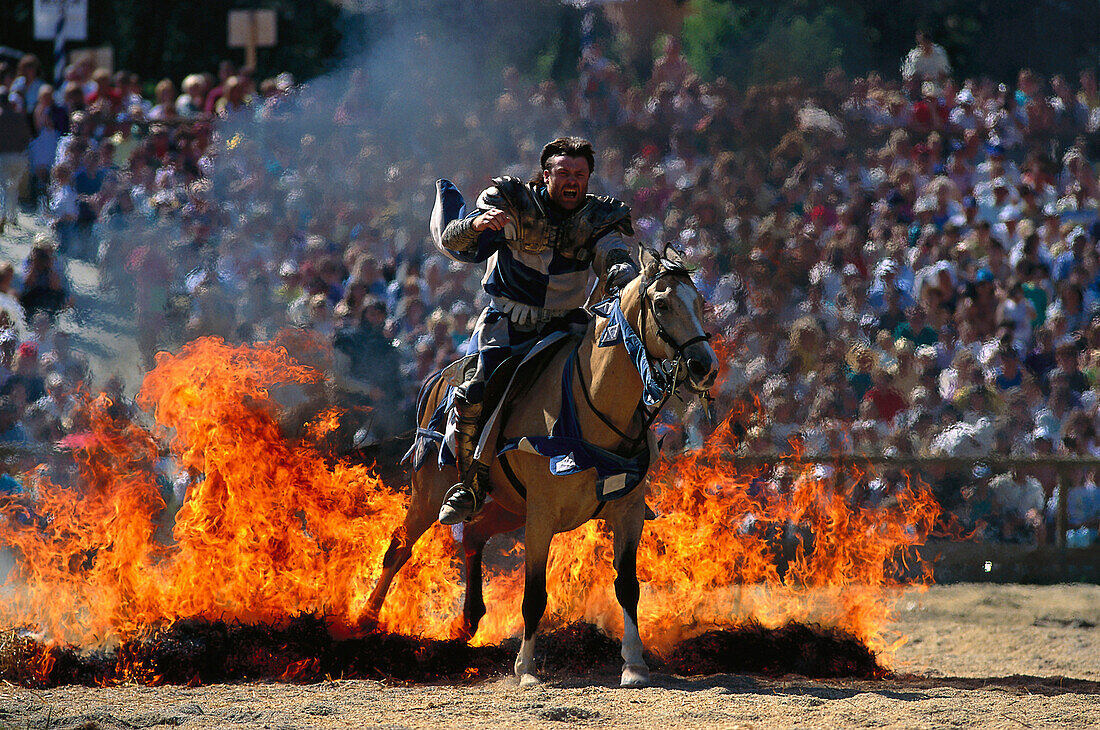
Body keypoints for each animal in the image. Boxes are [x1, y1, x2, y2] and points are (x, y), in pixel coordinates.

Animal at [365, 245, 717, 686]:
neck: (590, 406)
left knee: (475, 535)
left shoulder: (628, 511)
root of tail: (441, 379)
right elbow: (534, 593)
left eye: (699, 302)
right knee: (398, 548)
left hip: (507, 506)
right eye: (663, 303)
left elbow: (627, 586)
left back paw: (469, 619)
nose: (705, 365)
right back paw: (364, 620)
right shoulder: (542, 516)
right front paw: (526, 668)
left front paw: (634, 664)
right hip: (430, 494)